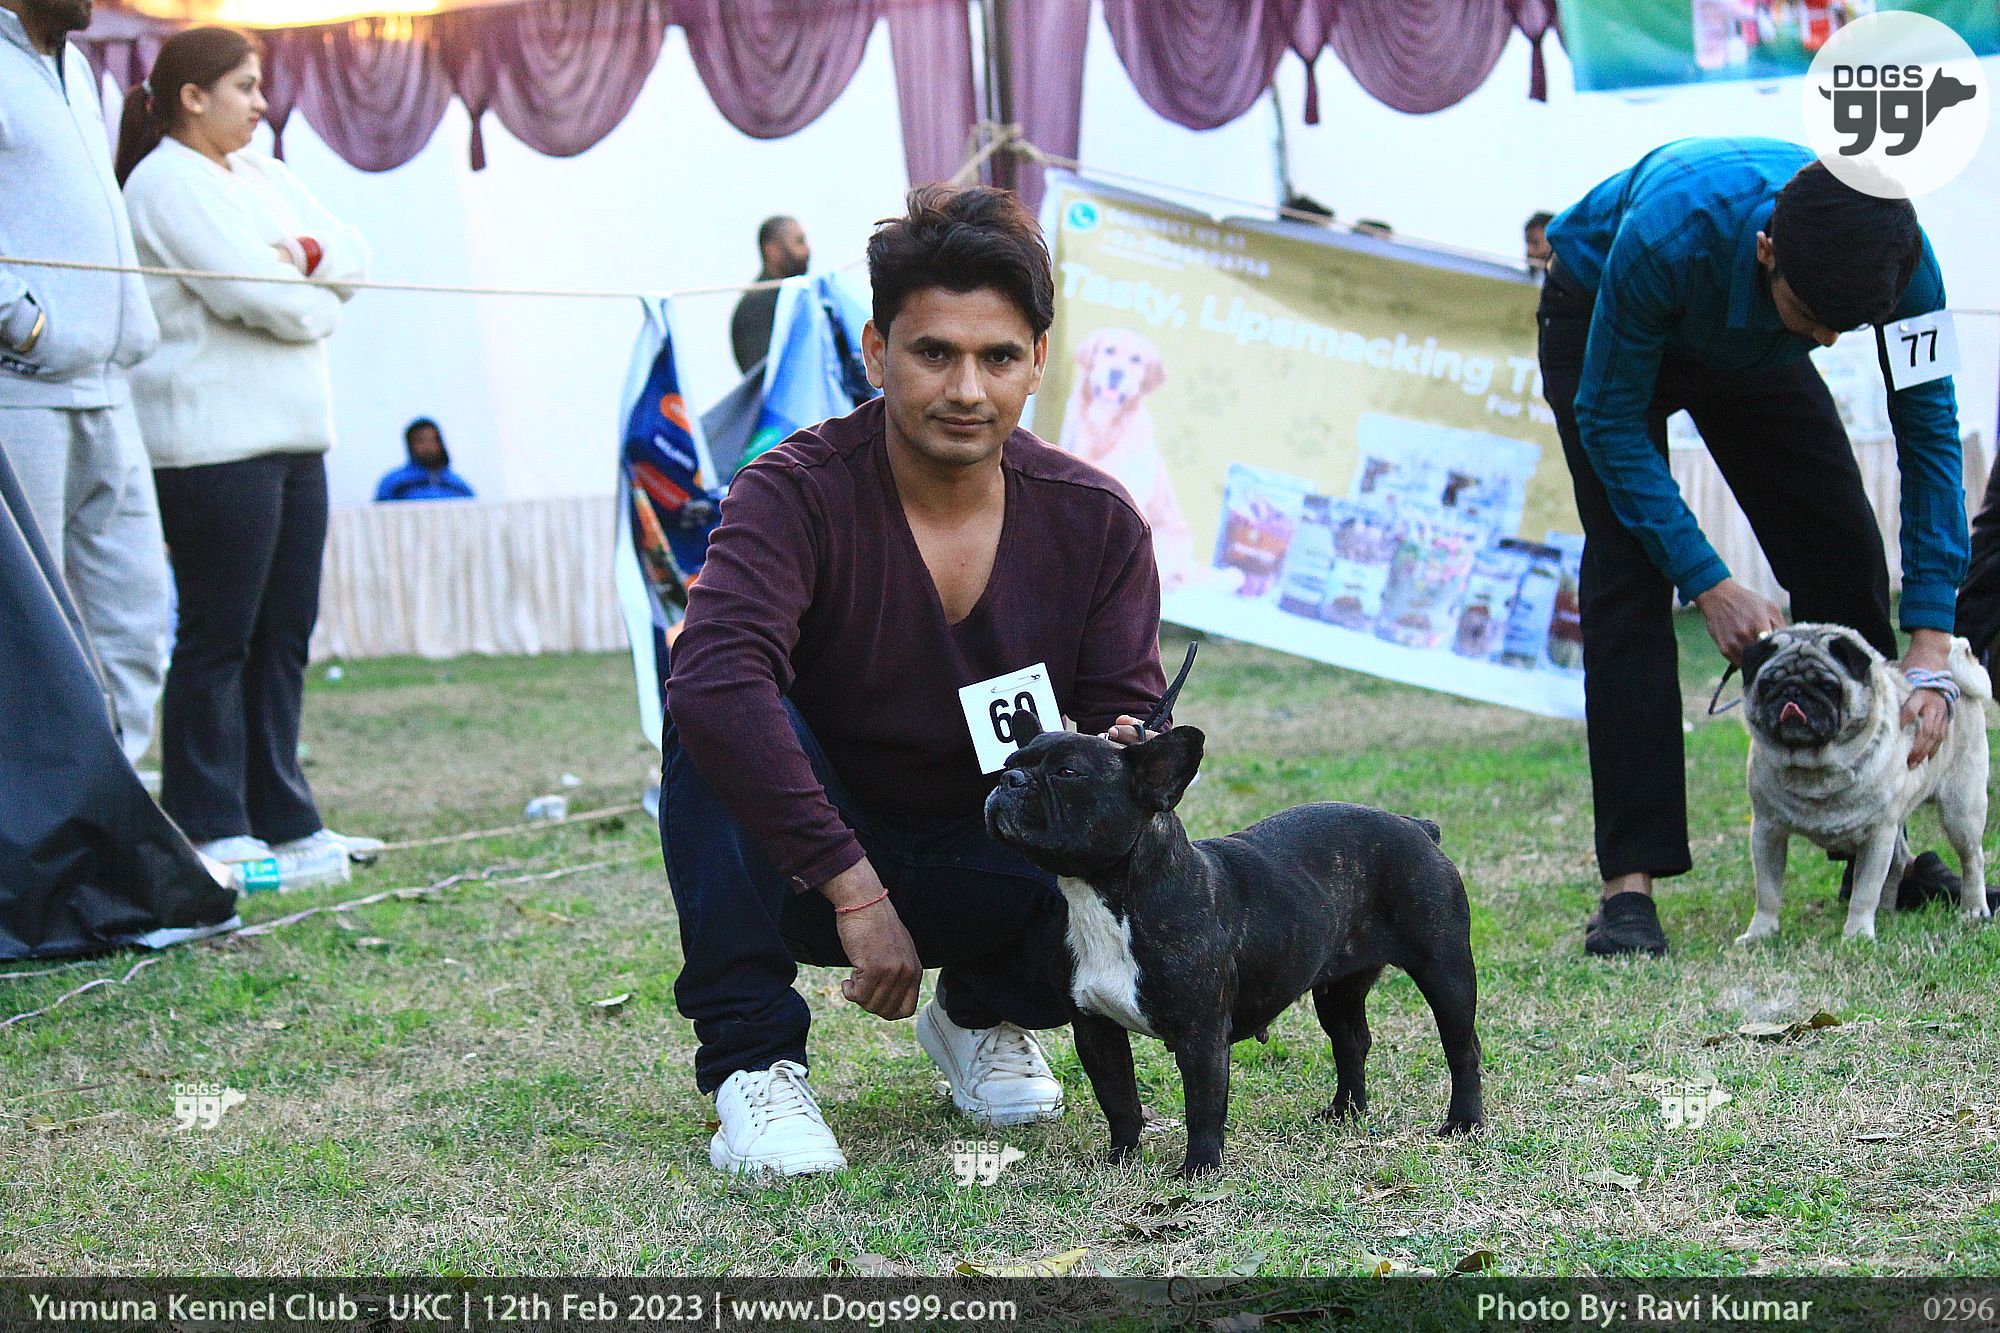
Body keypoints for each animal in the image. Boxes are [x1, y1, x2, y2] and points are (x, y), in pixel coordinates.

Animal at [983, 722, 1483, 1176]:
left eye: (1067, 772)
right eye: (1007, 763)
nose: (1008, 780)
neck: (1108, 896)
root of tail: (1418, 827)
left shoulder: (1201, 1034)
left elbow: (1203, 1107)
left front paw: (1199, 1172)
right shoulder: (1095, 1028)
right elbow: (1119, 1099)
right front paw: (1119, 1160)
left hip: (1445, 969)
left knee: (1462, 1046)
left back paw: (1463, 1123)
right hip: (1338, 987)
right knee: (1351, 1041)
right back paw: (1345, 1113)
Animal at [1737, 622, 1992, 943]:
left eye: (1828, 687)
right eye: (1767, 685)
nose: (1792, 692)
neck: (1815, 772)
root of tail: (1957, 684)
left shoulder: (1876, 836)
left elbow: (1864, 892)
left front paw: (1857, 935)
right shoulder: (1767, 831)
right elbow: (1767, 891)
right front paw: (1760, 933)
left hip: (1961, 812)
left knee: (1972, 860)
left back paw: (1973, 909)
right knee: (1899, 861)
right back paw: (1886, 911)